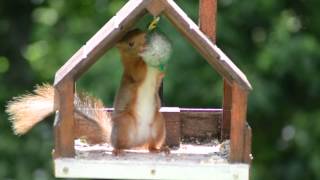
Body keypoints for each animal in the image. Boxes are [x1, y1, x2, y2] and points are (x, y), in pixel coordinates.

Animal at [5, 28, 171, 154]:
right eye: (131, 43)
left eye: (144, 35)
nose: (147, 42)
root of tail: (138, 143)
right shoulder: (132, 72)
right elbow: (139, 70)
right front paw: (146, 56)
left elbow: (160, 75)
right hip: (125, 124)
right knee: (120, 144)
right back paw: (118, 150)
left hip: (158, 125)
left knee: (150, 145)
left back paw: (159, 149)